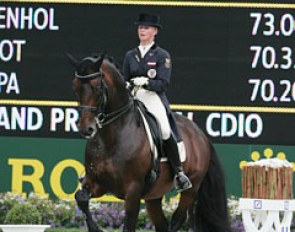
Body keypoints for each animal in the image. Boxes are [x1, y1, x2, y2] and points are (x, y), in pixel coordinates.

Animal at [68, 52, 232, 232]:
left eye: (97, 88)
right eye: (75, 87)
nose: (86, 129)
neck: (111, 139)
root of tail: (200, 134)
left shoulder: (133, 190)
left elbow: (129, 224)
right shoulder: (96, 182)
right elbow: (81, 198)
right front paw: (95, 228)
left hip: (192, 187)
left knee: (177, 219)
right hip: (154, 195)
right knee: (162, 223)